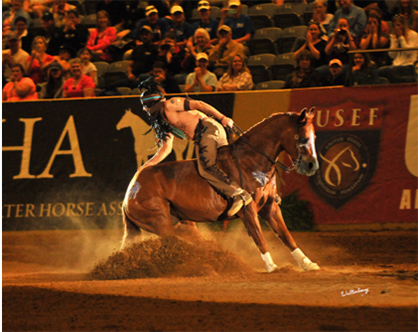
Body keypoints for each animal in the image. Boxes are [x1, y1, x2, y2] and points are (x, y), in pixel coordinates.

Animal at [121, 107, 320, 274]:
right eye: (303, 138)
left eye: (315, 137)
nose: (312, 165)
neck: (250, 161)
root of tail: (133, 186)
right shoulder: (248, 210)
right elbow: (259, 238)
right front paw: (271, 266)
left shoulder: (270, 207)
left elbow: (286, 236)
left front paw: (308, 263)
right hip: (162, 223)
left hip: (184, 224)